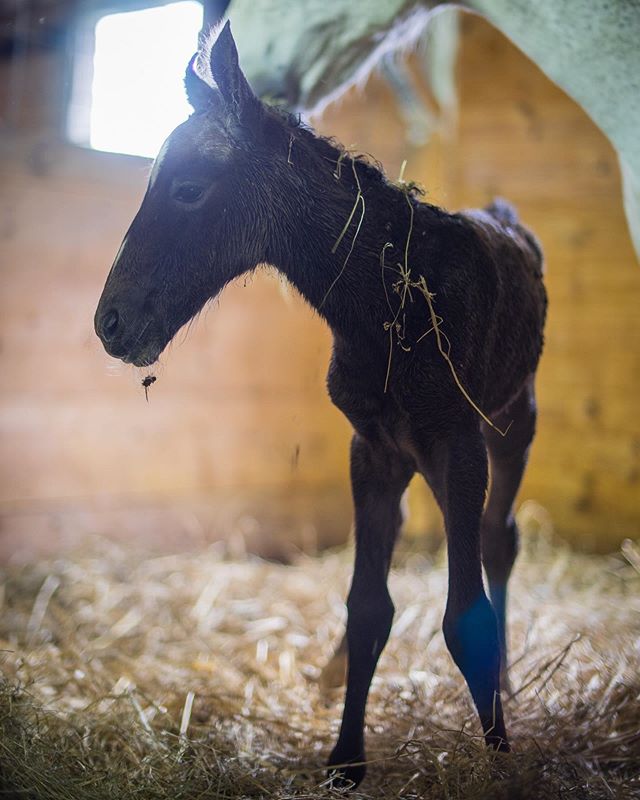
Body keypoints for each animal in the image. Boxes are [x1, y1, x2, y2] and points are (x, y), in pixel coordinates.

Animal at [94, 23, 544, 788]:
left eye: (188, 188)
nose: (110, 324)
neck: (390, 302)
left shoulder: (459, 445)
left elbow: (467, 617)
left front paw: (499, 762)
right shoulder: (374, 449)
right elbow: (367, 608)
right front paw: (345, 759)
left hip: (513, 423)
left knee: (499, 538)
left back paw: (508, 682)